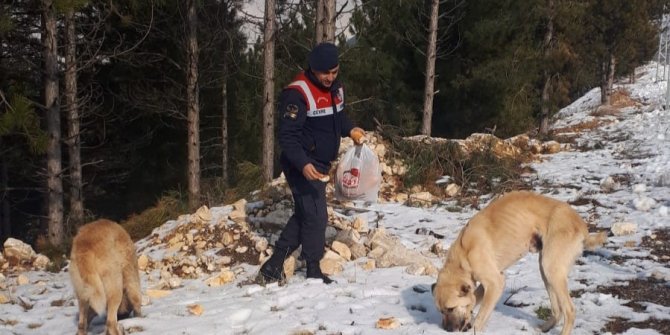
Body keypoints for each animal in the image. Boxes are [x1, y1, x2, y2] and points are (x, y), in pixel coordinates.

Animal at [436, 192, 608, 335]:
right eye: (441, 311)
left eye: (450, 309)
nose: (447, 330)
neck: (464, 254)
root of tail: (582, 225)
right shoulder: (487, 283)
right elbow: (473, 301)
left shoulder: (495, 283)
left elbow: (480, 317)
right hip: (545, 271)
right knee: (557, 311)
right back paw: (543, 328)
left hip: (551, 269)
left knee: (569, 310)